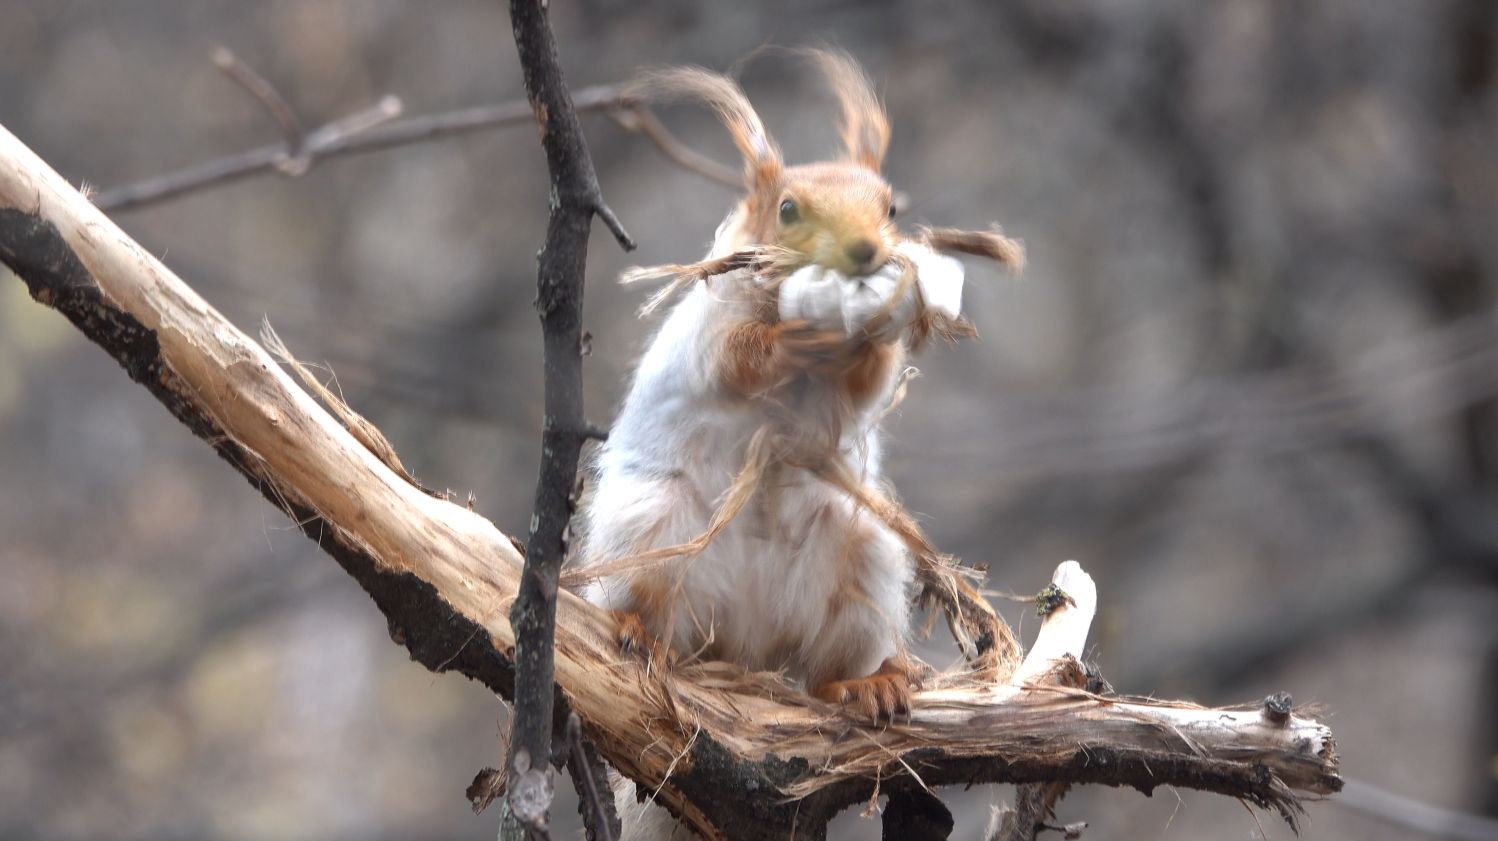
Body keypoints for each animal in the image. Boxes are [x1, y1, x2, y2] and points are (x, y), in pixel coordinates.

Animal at [569, 49, 1021, 840]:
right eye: (787, 210)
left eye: (891, 208)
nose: (866, 253)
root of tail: (750, 643)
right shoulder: (715, 330)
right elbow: (741, 359)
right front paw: (795, 334)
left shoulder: (854, 391)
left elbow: (867, 384)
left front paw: (866, 334)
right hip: (653, 527)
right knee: (655, 615)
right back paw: (638, 633)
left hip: (860, 558)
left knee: (822, 673)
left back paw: (869, 684)